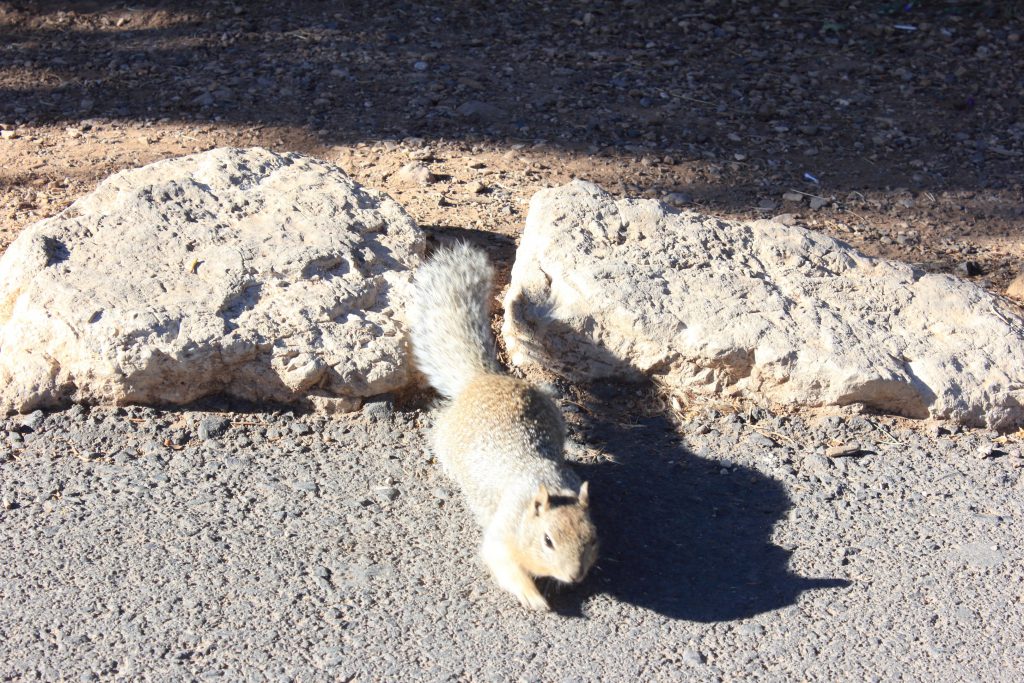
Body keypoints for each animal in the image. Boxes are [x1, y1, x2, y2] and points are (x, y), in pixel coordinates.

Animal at [407, 243, 598, 611]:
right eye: (547, 540)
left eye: (593, 537)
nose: (574, 576)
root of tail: (483, 378)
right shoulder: (502, 532)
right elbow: (501, 561)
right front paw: (532, 595)